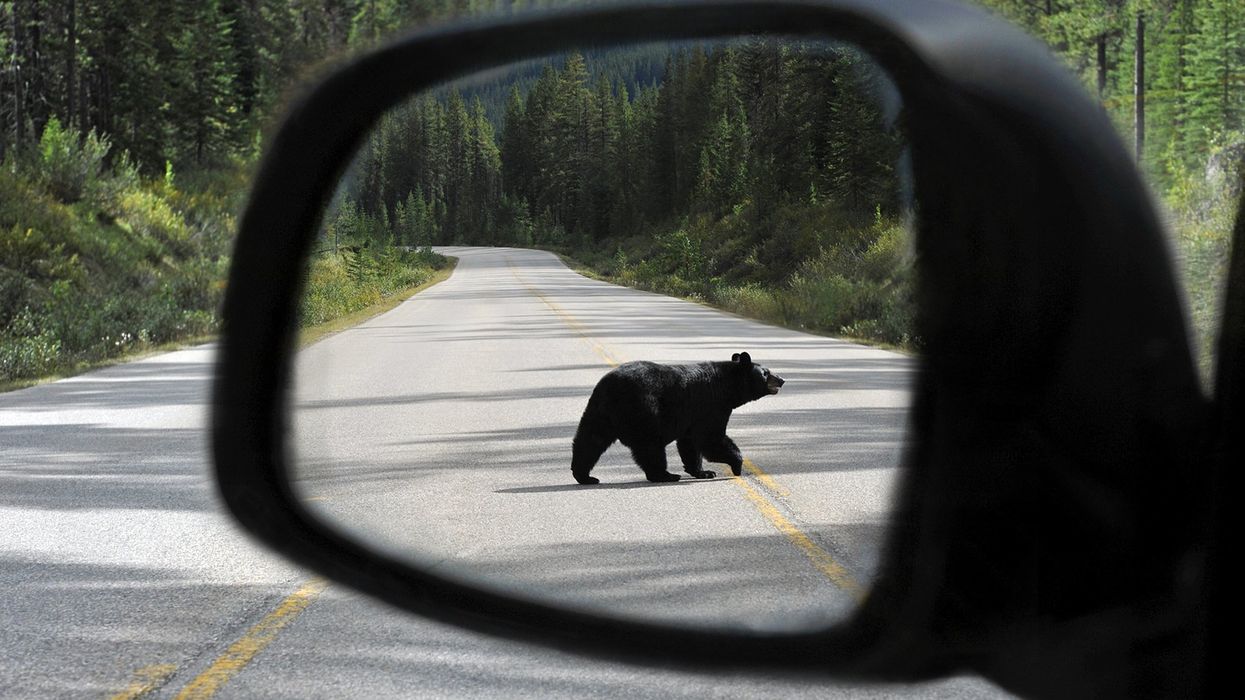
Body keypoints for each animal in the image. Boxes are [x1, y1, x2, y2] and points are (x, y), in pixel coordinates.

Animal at [571, 352, 785, 485]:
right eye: (766, 373)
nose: (782, 379)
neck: (727, 387)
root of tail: (609, 387)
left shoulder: (692, 416)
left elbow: (690, 443)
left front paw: (703, 472)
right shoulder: (711, 406)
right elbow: (711, 439)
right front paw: (737, 465)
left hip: (599, 412)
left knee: (590, 441)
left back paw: (584, 476)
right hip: (644, 411)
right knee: (650, 446)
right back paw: (665, 475)